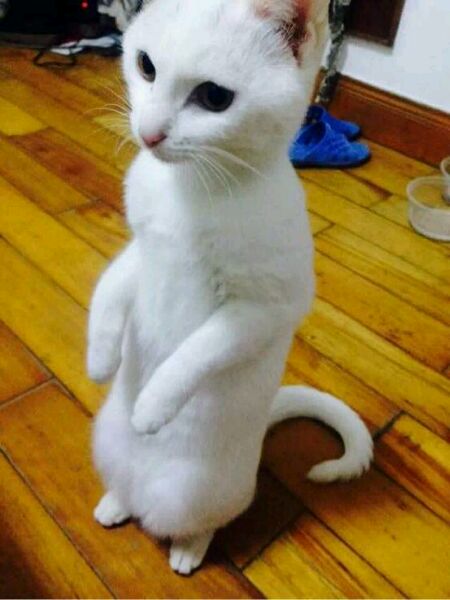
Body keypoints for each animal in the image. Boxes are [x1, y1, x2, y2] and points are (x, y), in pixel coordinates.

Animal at [88, 0, 373, 575]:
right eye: (146, 66)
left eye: (214, 98)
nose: (149, 133)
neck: (191, 189)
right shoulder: (143, 249)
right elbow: (109, 289)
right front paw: (101, 358)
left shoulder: (264, 309)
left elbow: (196, 353)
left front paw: (152, 406)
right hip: (105, 444)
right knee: (128, 493)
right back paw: (115, 503)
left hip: (197, 490)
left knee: (201, 521)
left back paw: (187, 549)